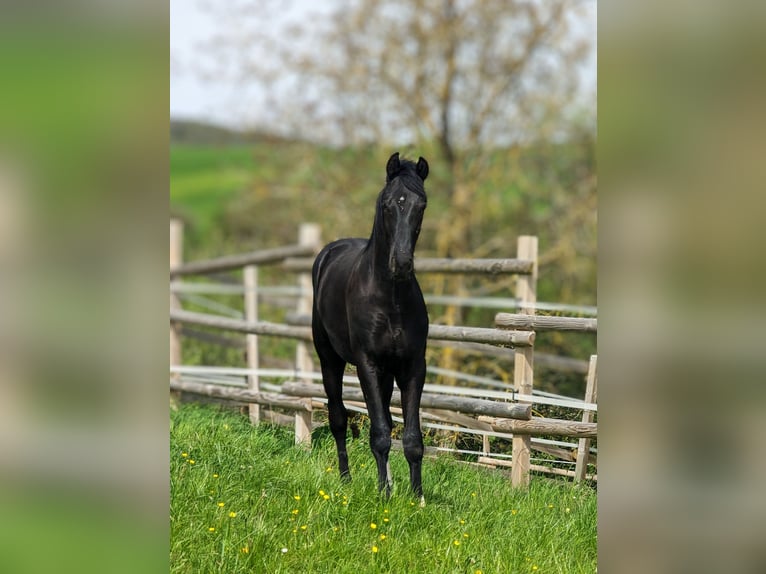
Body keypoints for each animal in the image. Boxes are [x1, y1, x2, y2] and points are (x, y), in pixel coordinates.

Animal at [311, 152, 430, 504]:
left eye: (422, 205)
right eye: (389, 204)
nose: (401, 263)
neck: (390, 298)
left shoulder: (412, 366)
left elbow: (411, 437)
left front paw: (417, 497)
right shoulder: (367, 364)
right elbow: (378, 433)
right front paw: (384, 495)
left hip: (388, 373)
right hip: (330, 360)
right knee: (338, 418)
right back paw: (346, 478)